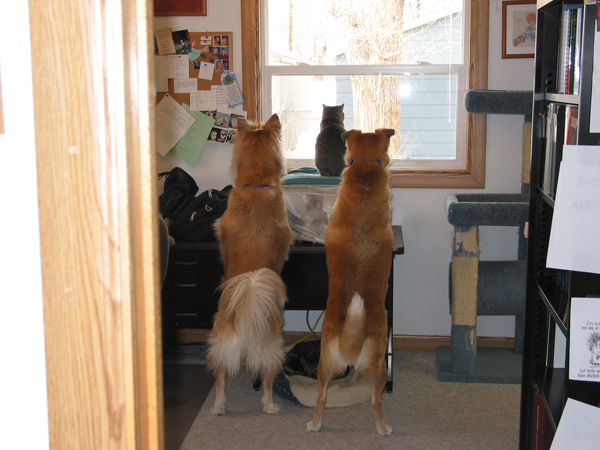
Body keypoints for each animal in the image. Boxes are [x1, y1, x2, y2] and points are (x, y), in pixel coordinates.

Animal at [206, 114, 296, 416]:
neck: (256, 185)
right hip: (274, 349)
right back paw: (269, 406)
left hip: (220, 346)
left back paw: (218, 407)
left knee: (220, 380)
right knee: (267, 381)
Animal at [308, 127, 396, 436]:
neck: (365, 166)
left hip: (324, 363)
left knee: (321, 397)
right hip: (380, 366)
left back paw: (314, 425)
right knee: (375, 401)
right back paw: (383, 428)